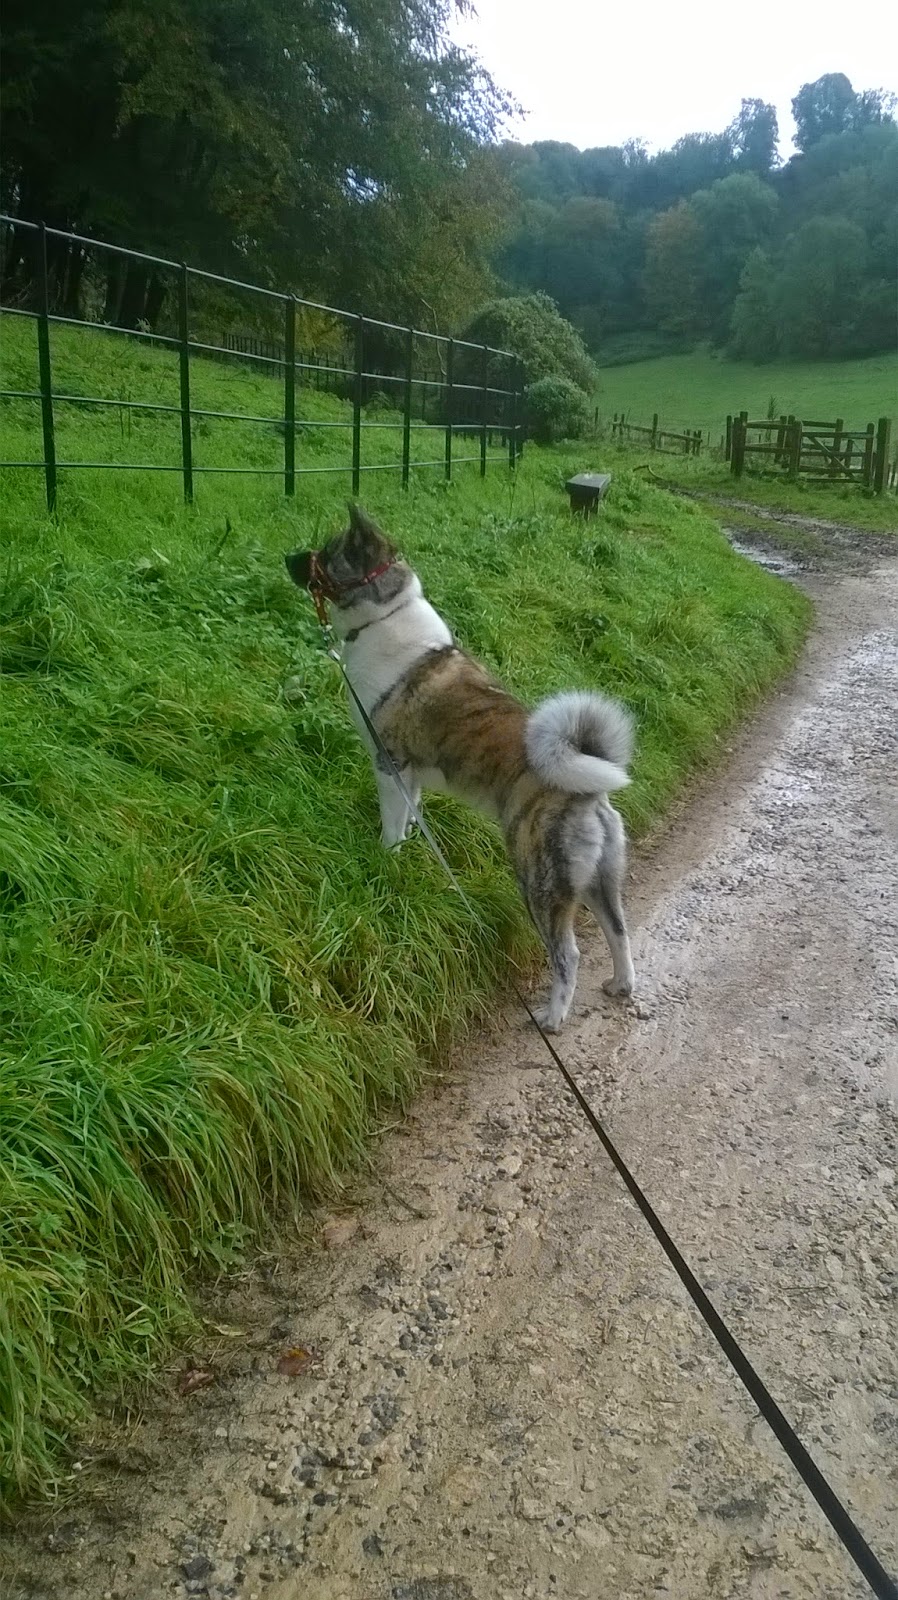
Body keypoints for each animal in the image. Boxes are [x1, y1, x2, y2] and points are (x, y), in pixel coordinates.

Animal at [285, 505, 635, 1032]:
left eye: (327, 554)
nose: (288, 558)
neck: (384, 615)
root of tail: (585, 792)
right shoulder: (409, 777)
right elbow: (411, 815)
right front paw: (409, 850)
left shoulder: (389, 765)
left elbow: (391, 826)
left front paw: (386, 860)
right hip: (599, 879)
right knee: (619, 931)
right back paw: (621, 984)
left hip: (540, 883)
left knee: (568, 954)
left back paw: (553, 1016)